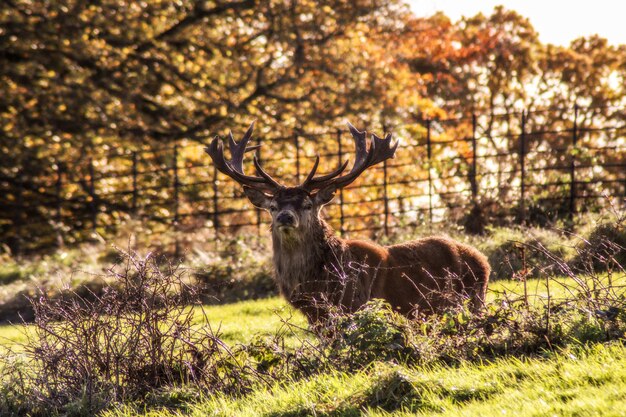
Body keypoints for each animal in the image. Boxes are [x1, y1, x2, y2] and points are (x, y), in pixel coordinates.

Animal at [205, 122, 488, 324]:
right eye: (272, 207)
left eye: (307, 205)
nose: (285, 216)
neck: (316, 285)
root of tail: (483, 261)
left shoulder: (353, 305)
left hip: (471, 302)